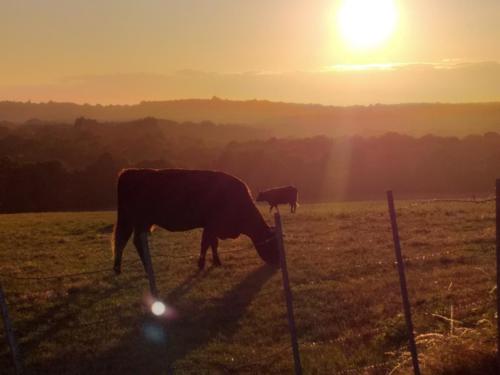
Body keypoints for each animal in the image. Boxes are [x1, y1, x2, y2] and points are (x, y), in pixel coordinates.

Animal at [111, 169, 280, 274]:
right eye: (272, 244)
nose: (278, 262)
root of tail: (130, 172)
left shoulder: (210, 226)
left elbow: (211, 243)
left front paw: (214, 262)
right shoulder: (212, 225)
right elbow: (207, 243)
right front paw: (204, 264)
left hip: (132, 221)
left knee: (122, 239)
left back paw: (118, 268)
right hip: (140, 221)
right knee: (132, 241)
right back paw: (145, 267)